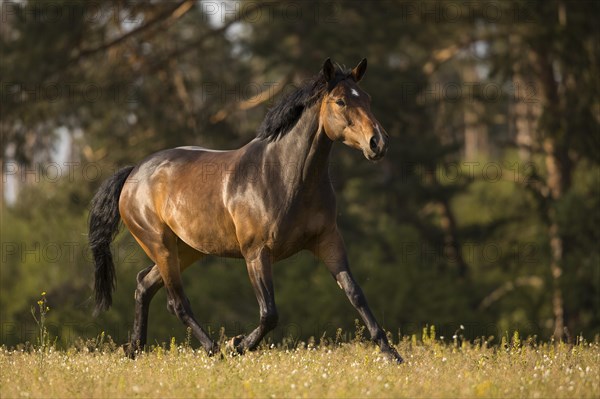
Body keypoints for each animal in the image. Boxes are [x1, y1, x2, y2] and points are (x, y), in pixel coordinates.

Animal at [89, 58, 404, 362]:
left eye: (367, 98)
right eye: (340, 101)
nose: (378, 143)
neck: (284, 176)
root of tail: (133, 173)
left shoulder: (327, 241)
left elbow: (355, 294)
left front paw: (391, 354)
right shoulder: (256, 254)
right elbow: (269, 313)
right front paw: (237, 344)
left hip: (187, 249)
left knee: (145, 285)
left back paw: (135, 350)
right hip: (161, 246)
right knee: (176, 301)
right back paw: (214, 349)